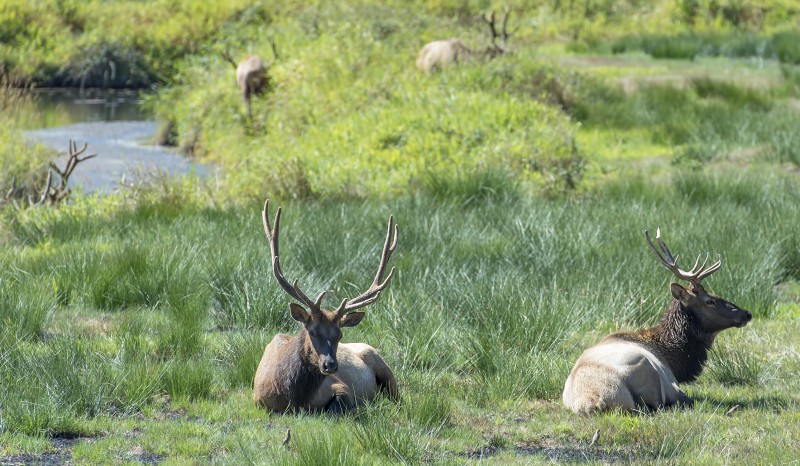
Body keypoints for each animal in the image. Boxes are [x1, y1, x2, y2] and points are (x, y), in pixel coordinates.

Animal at [253, 200, 400, 413]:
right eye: (312, 332)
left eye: (340, 334)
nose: (330, 365)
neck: (294, 397)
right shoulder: (259, 400)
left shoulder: (340, 386)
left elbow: (336, 408)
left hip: (385, 369)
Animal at [562, 227, 752, 415]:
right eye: (709, 301)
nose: (747, 313)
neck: (673, 359)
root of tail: (593, 401)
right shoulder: (671, 381)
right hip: (649, 372)